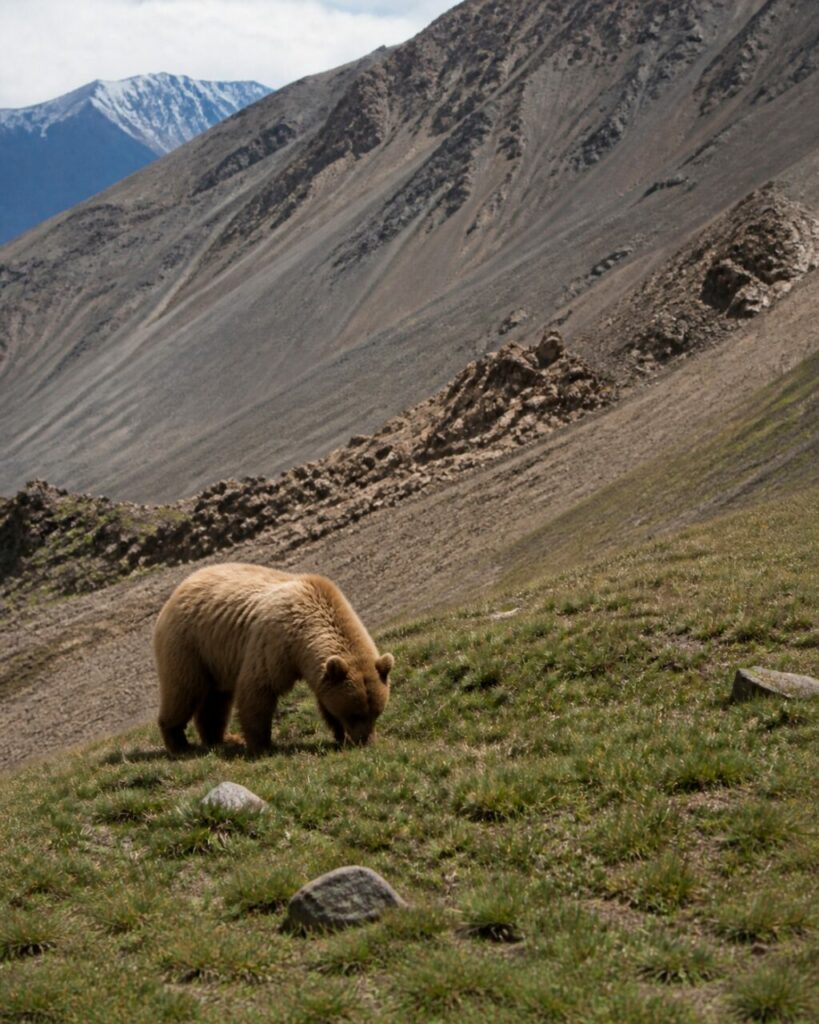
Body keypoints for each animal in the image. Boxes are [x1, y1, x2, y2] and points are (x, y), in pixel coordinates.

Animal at [154, 563, 394, 755]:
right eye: (354, 714)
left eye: (376, 713)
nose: (365, 741)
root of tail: (181, 586)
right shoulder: (275, 644)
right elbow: (258, 689)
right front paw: (261, 745)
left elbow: (325, 699)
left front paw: (340, 734)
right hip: (189, 645)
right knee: (183, 690)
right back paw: (179, 743)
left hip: (215, 657)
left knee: (216, 699)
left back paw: (221, 739)